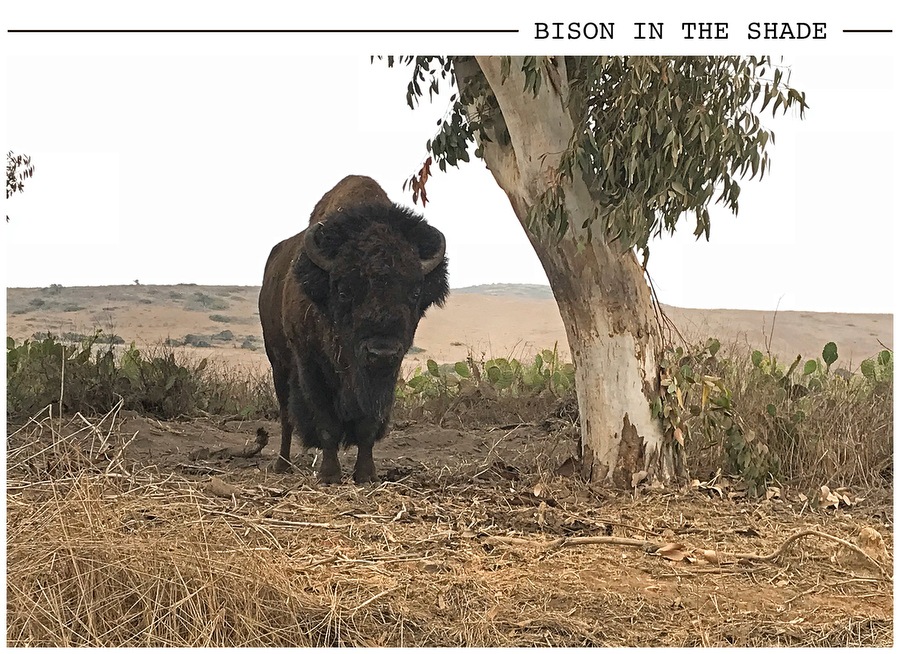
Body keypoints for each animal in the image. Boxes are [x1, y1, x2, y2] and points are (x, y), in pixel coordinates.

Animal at [259, 175, 449, 483]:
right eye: (344, 291)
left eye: (415, 291)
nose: (381, 352)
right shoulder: (310, 366)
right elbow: (326, 423)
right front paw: (329, 475)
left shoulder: (385, 376)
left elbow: (367, 426)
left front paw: (366, 474)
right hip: (278, 363)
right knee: (286, 416)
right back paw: (282, 464)